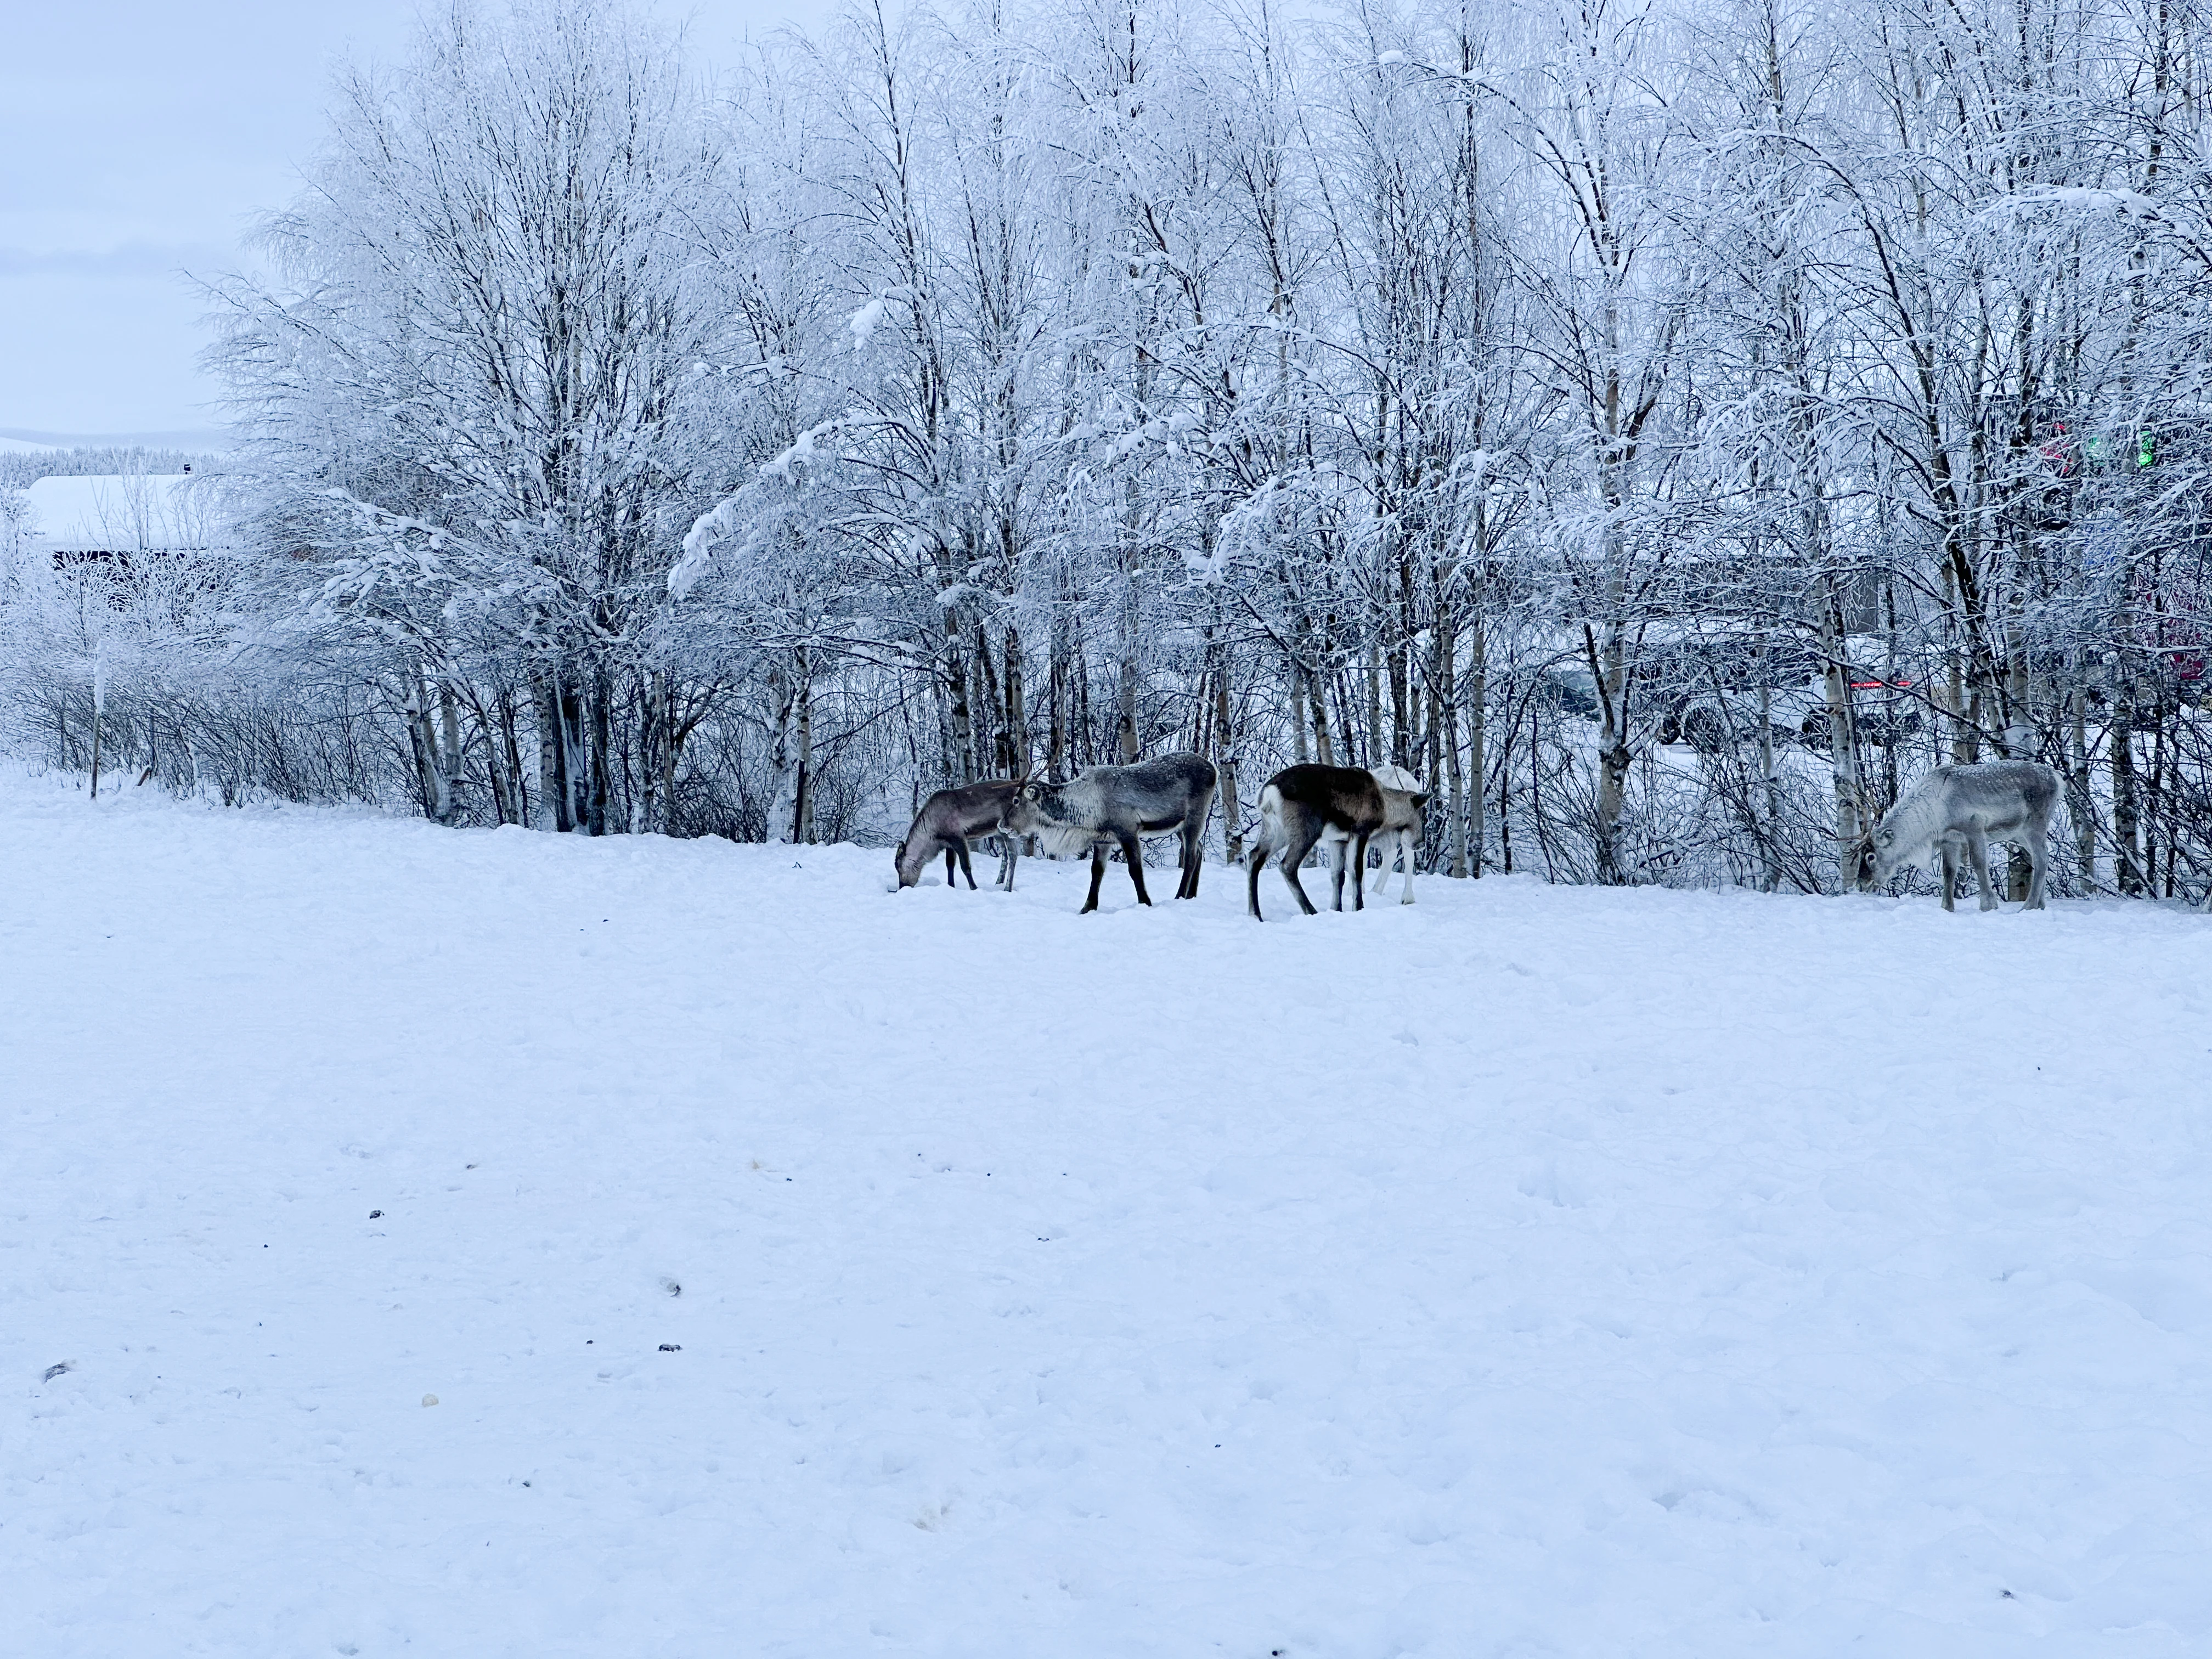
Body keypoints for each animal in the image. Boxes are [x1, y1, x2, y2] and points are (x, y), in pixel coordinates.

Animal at [893, 779, 1024, 892]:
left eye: (898, 867)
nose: (902, 887)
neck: (933, 836)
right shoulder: (948, 843)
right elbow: (950, 865)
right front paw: (951, 885)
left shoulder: (959, 837)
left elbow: (965, 867)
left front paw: (974, 888)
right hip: (997, 833)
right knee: (1005, 855)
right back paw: (998, 883)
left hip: (1007, 830)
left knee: (1013, 855)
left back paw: (1007, 888)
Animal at [1001, 752, 1218, 913]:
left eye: (1016, 801)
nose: (1002, 824)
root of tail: (1214, 769)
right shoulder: (1102, 841)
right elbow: (1096, 872)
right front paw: (1087, 908)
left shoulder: (1128, 831)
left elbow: (1135, 870)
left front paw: (1145, 902)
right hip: (1178, 826)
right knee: (1199, 849)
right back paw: (1191, 895)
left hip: (1195, 816)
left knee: (1190, 856)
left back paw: (1180, 895)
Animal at [1247, 764, 1389, 920]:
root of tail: (1268, 793)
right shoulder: (1360, 832)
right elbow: (1356, 871)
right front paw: (1358, 908)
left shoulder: (1338, 840)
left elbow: (1338, 875)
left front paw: (1336, 909)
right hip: (1307, 831)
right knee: (1287, 865)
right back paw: (1311, 911)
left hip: (1275, 831)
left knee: (1254, 857)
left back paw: (1255, 914)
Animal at [1870, 760, 2061, 911]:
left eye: (1871, 856)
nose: (1865, 883)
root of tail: (2057, 778)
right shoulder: (1949, 839)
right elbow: (1949, 871)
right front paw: (1947, 908)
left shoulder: (1975, 826)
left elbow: (1979, 864)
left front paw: (1988, 905)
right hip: (2020, 834)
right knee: (2041, 857)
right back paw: (2040, 905)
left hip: (2035, 825)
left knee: (2042, 859)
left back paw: (2028, 906)